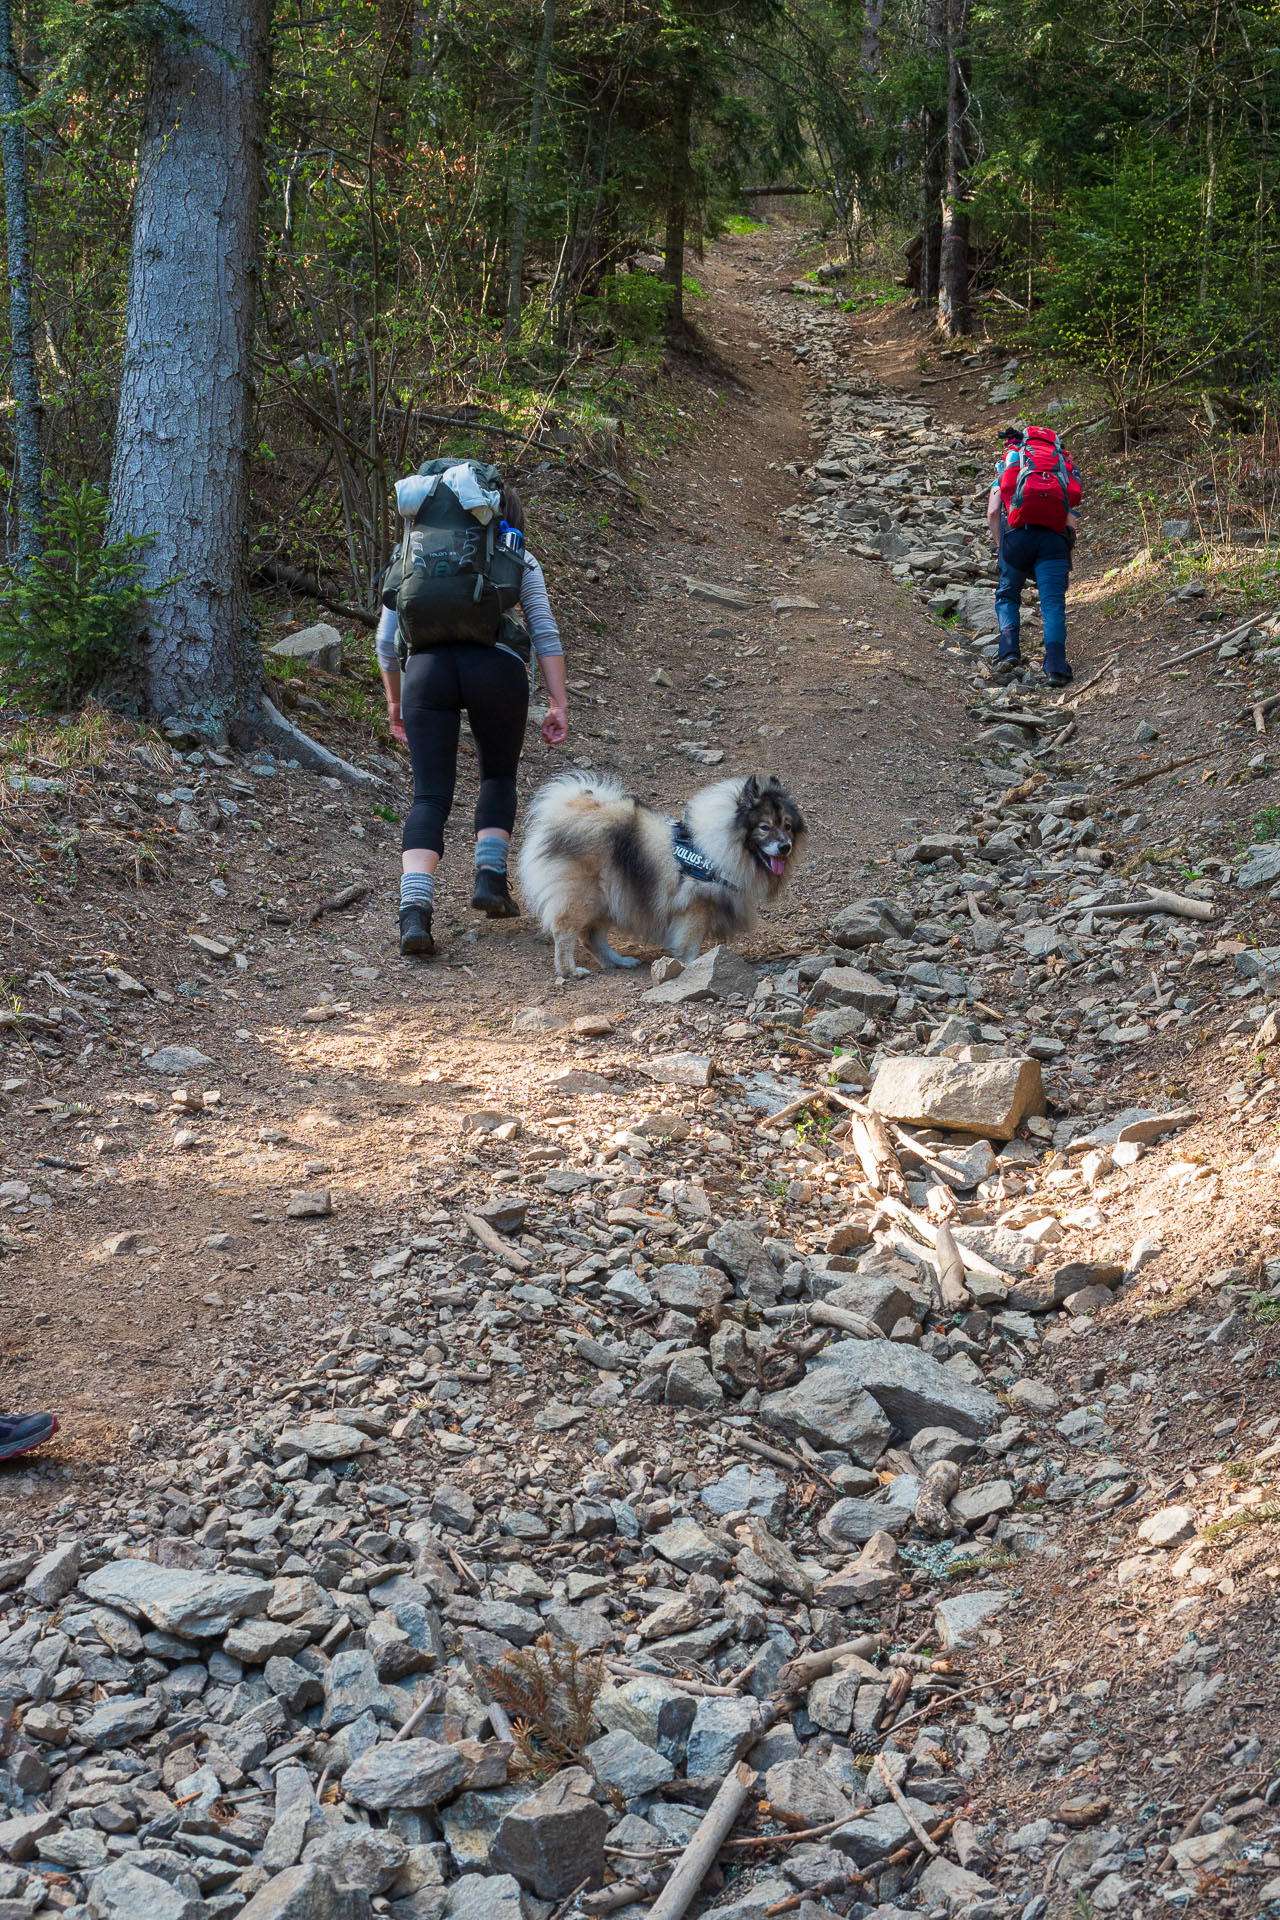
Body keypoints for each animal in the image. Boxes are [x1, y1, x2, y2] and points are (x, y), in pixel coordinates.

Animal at [518, 768, 802, 975]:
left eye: (787, 826)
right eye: (764, 827)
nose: (785, 847)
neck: (719, 845)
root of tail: (568, 808)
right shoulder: (696, 908)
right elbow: (689, 944)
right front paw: (692, 966)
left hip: (611, 898)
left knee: (591, 937)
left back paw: (618, 962)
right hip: (583, 897)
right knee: (565, 933)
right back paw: (570, 971)